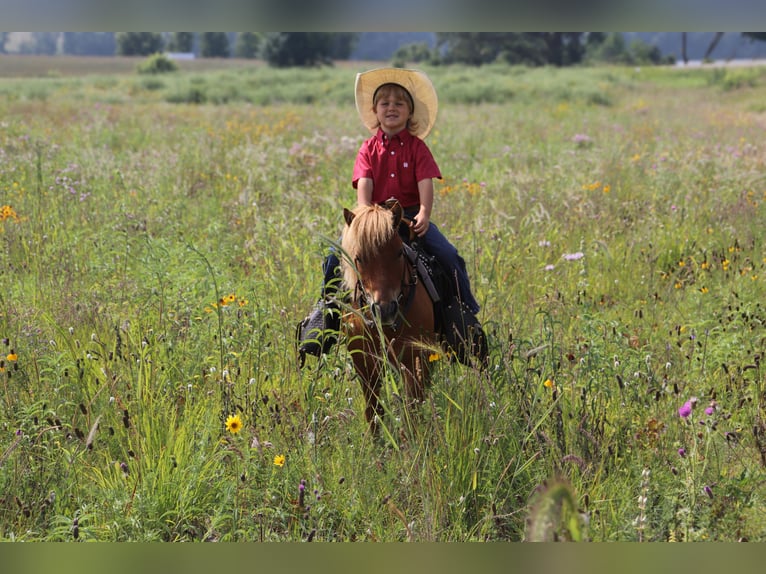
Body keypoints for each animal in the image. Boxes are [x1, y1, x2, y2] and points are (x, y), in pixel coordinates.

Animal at [340, 202, 436, 436]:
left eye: (399, 253)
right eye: (358, 258)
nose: (384, 310)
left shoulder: (414, 360)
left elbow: (412, 410)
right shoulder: (365, 366)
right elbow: (373, 413)